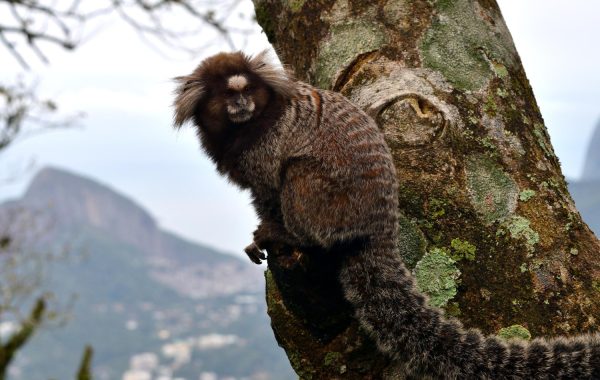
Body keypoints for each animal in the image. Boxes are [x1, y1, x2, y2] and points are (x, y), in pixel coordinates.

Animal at [172, 51, 600, 380]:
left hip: (332, 203)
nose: (241, 106)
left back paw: (296, 237)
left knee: (298, 174)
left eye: (246, 91)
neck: (244, 128)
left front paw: (272, 232)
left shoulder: (267, 147)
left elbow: (271, 190)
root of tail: (380, 223)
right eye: (228, 94)